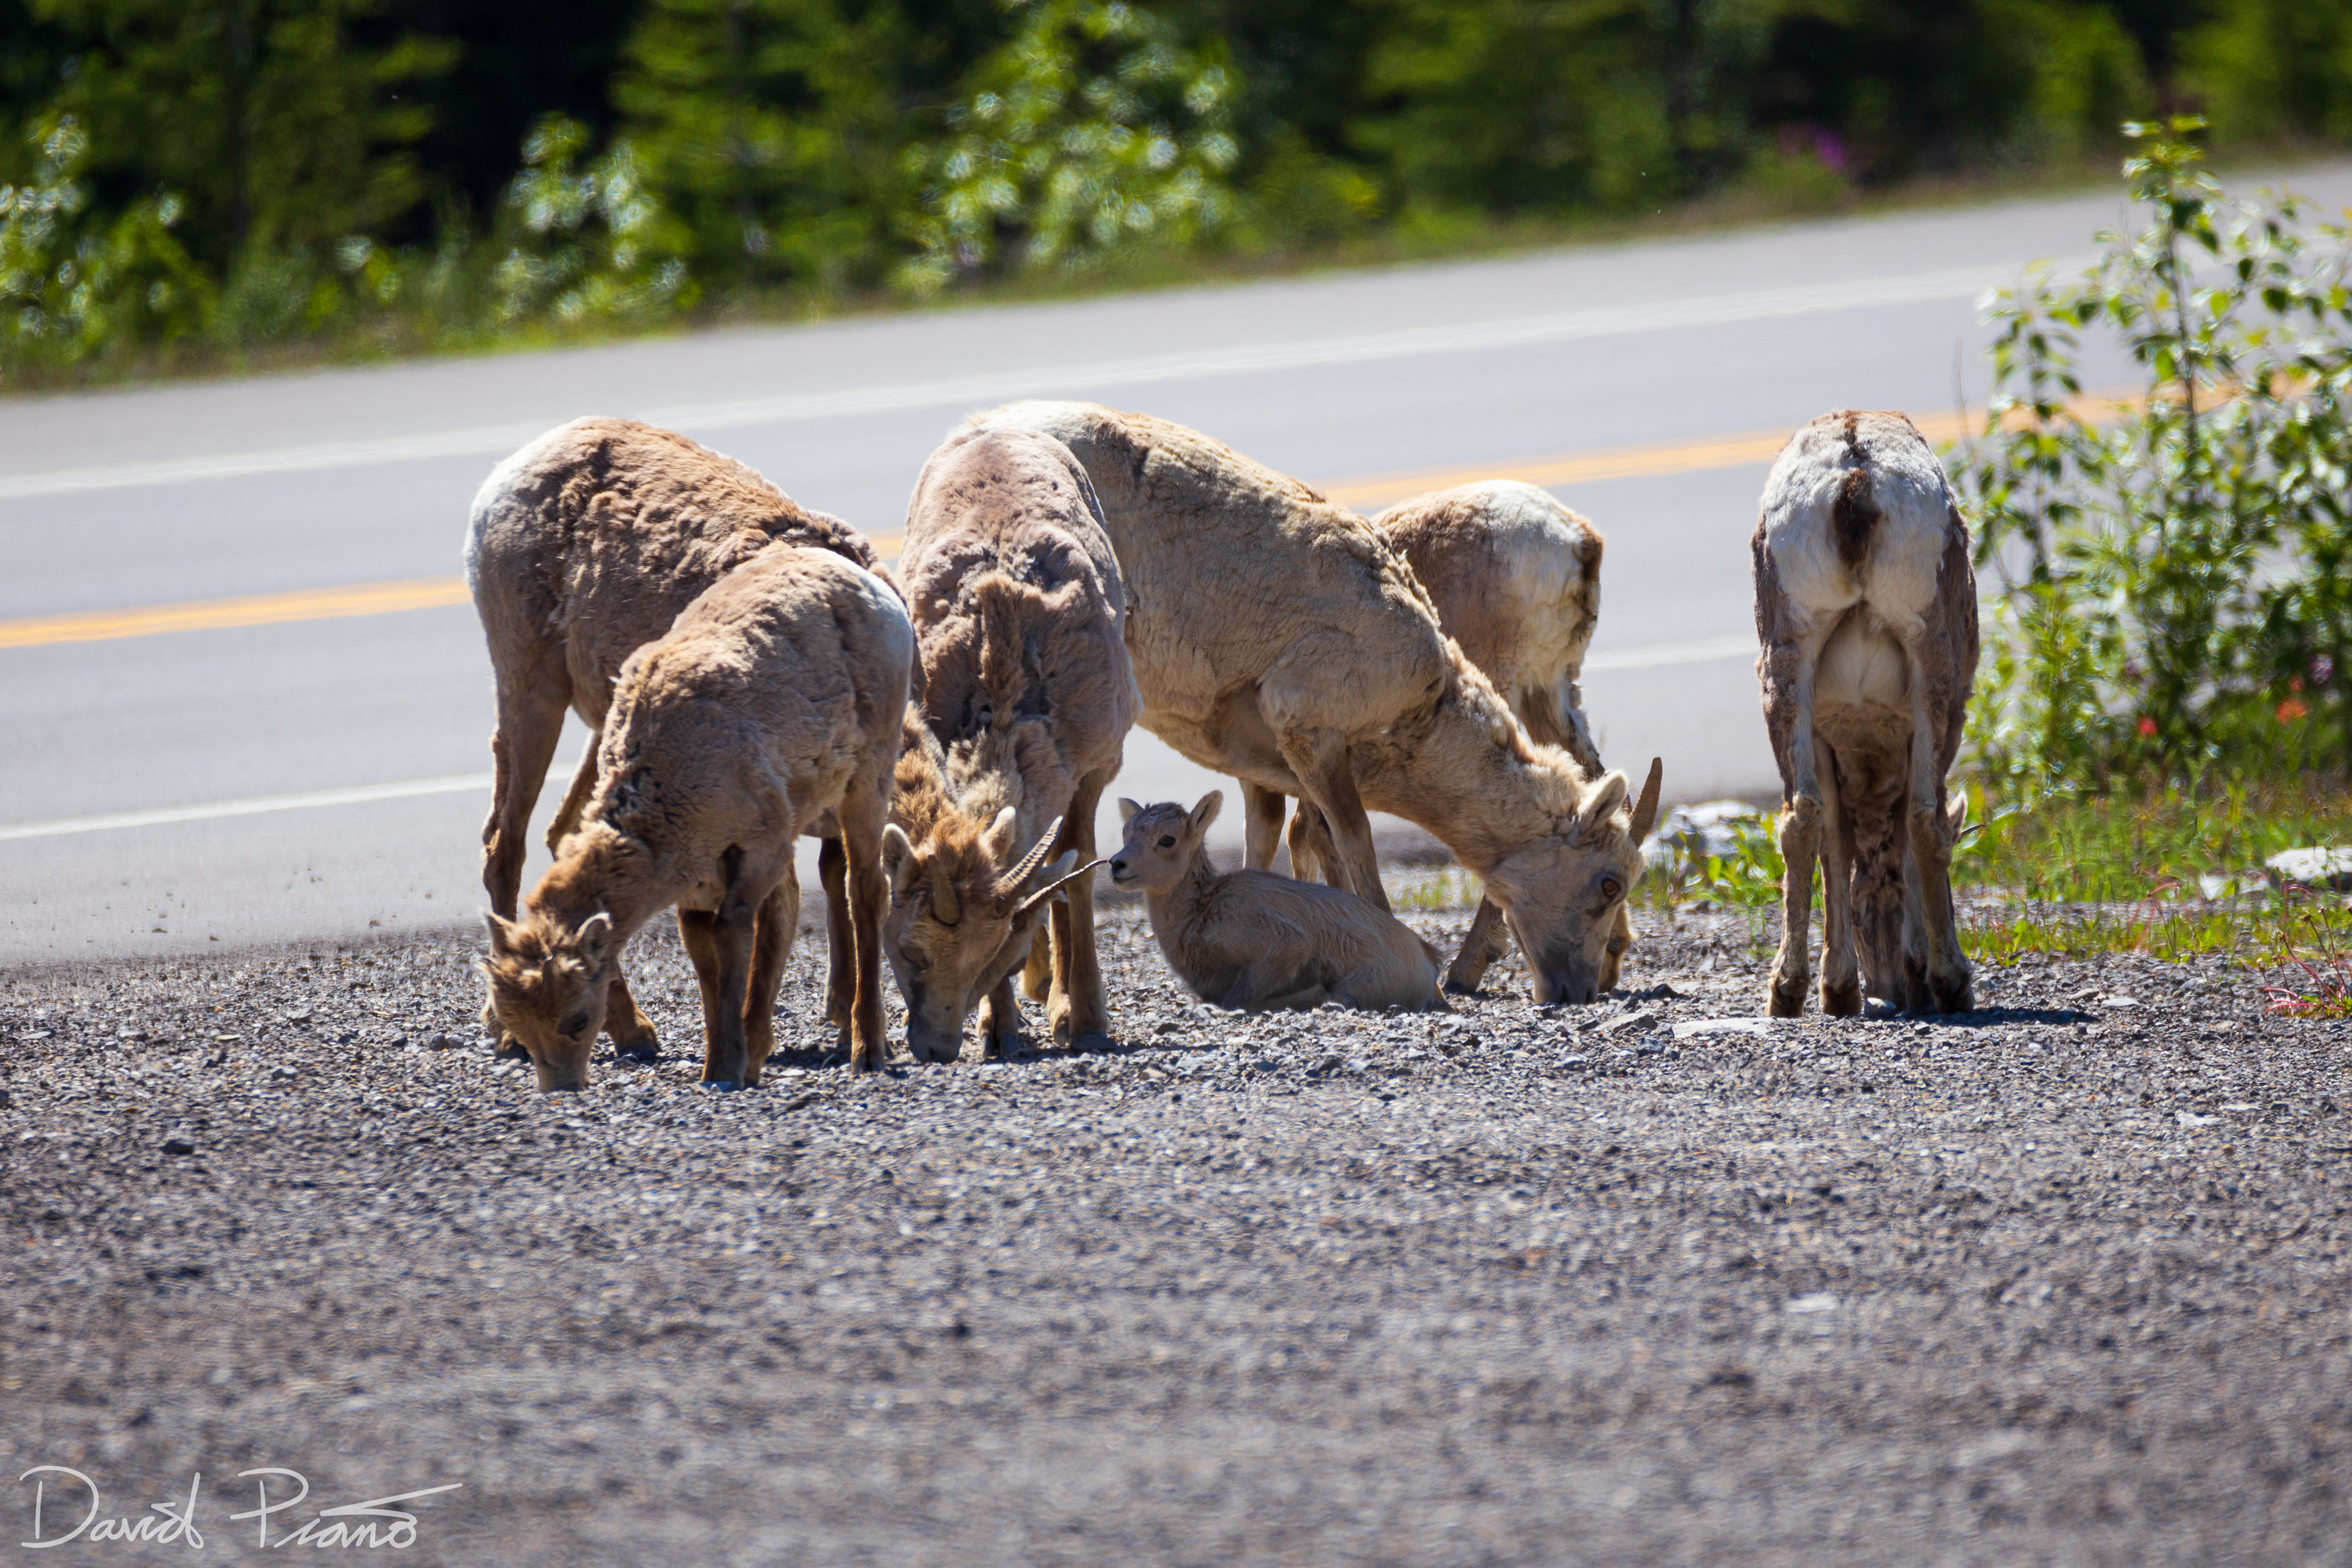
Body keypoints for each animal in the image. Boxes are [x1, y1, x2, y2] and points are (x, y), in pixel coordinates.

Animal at [465, 417, 891, 1058]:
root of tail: (499, 482)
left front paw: (838, 1017)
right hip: (531, 683)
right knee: (504, 845)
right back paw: (527, 1032)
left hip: (604, 725)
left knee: (563, 837)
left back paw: (628, 1028)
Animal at [879, 427, 1137, 1061]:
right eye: (908, 949)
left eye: (997, 957)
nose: (935, 1047)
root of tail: (992, 430)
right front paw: (1000, 1031)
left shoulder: (1093, 771)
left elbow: (1079, 877)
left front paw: (1083, 1021)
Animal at [1111, 793, 1446, 1012]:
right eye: (1126, 833)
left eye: (1167, 840)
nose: (1117, 865)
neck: (1200, 913)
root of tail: (1428, 959)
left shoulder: (1284, 944)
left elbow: (1237, 1001)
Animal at [1753, 410, 1978, 1017]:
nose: (1889, 990)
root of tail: (1855, 474)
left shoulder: (1825, 737)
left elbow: (1833, 837)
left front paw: (1838, 989)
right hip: (1932, 656)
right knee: (1924, 816)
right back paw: (1952, 983)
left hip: (1789, 656)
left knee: (1800, 816)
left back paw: (1788, 992)